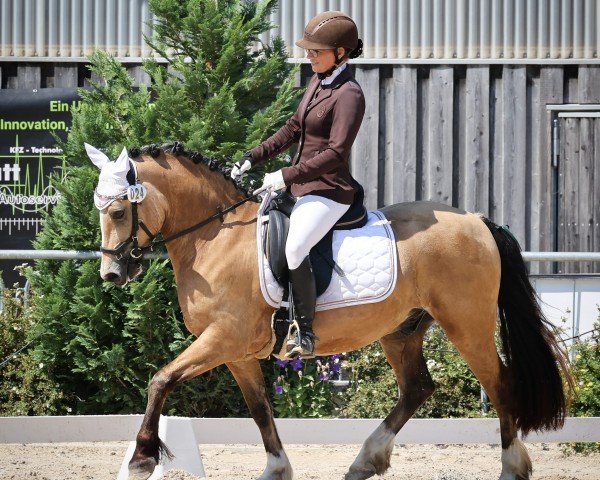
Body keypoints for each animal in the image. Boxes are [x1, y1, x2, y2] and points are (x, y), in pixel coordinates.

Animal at [88, 142, 572, 480]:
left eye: (118, 211)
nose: (111, 273)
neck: (216, 235)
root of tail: (475, 220)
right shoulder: (236, 352)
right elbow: (260, 409)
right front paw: (276, 468)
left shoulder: (223, 338)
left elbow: (160, 379)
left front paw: (142, 458)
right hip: (402, 331)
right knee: (417, 388)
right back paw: (366, 461)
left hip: (467, 324)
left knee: (499, 385)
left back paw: (511, 468)